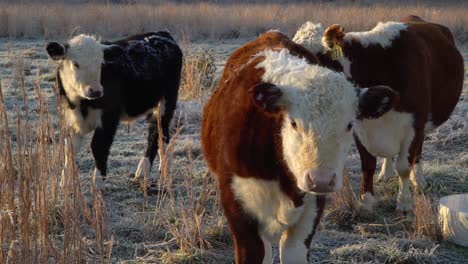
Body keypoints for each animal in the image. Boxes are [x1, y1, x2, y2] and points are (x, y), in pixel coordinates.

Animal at [47, 31, 183, 190]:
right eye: (75, 64)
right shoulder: (70, 120)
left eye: (101, 63)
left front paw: (98, 183)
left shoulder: (108, 118)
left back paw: (157, 171)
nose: (96, 91)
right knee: (157, 133)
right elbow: (69, 149)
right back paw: (147, 170)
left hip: (166, 102)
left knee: (160, 134)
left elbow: (98, 146)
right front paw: (64, 183)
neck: (81, 103)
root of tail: (161, 34)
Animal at [294, 16, 462, 213]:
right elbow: (367, 165)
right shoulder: (360, 126)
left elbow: (404, 167)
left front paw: (404, 203)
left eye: (310, 59)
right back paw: (386, 173)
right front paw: (366, 202)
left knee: (417, 153)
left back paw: (418, 181)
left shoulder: (414, 125)